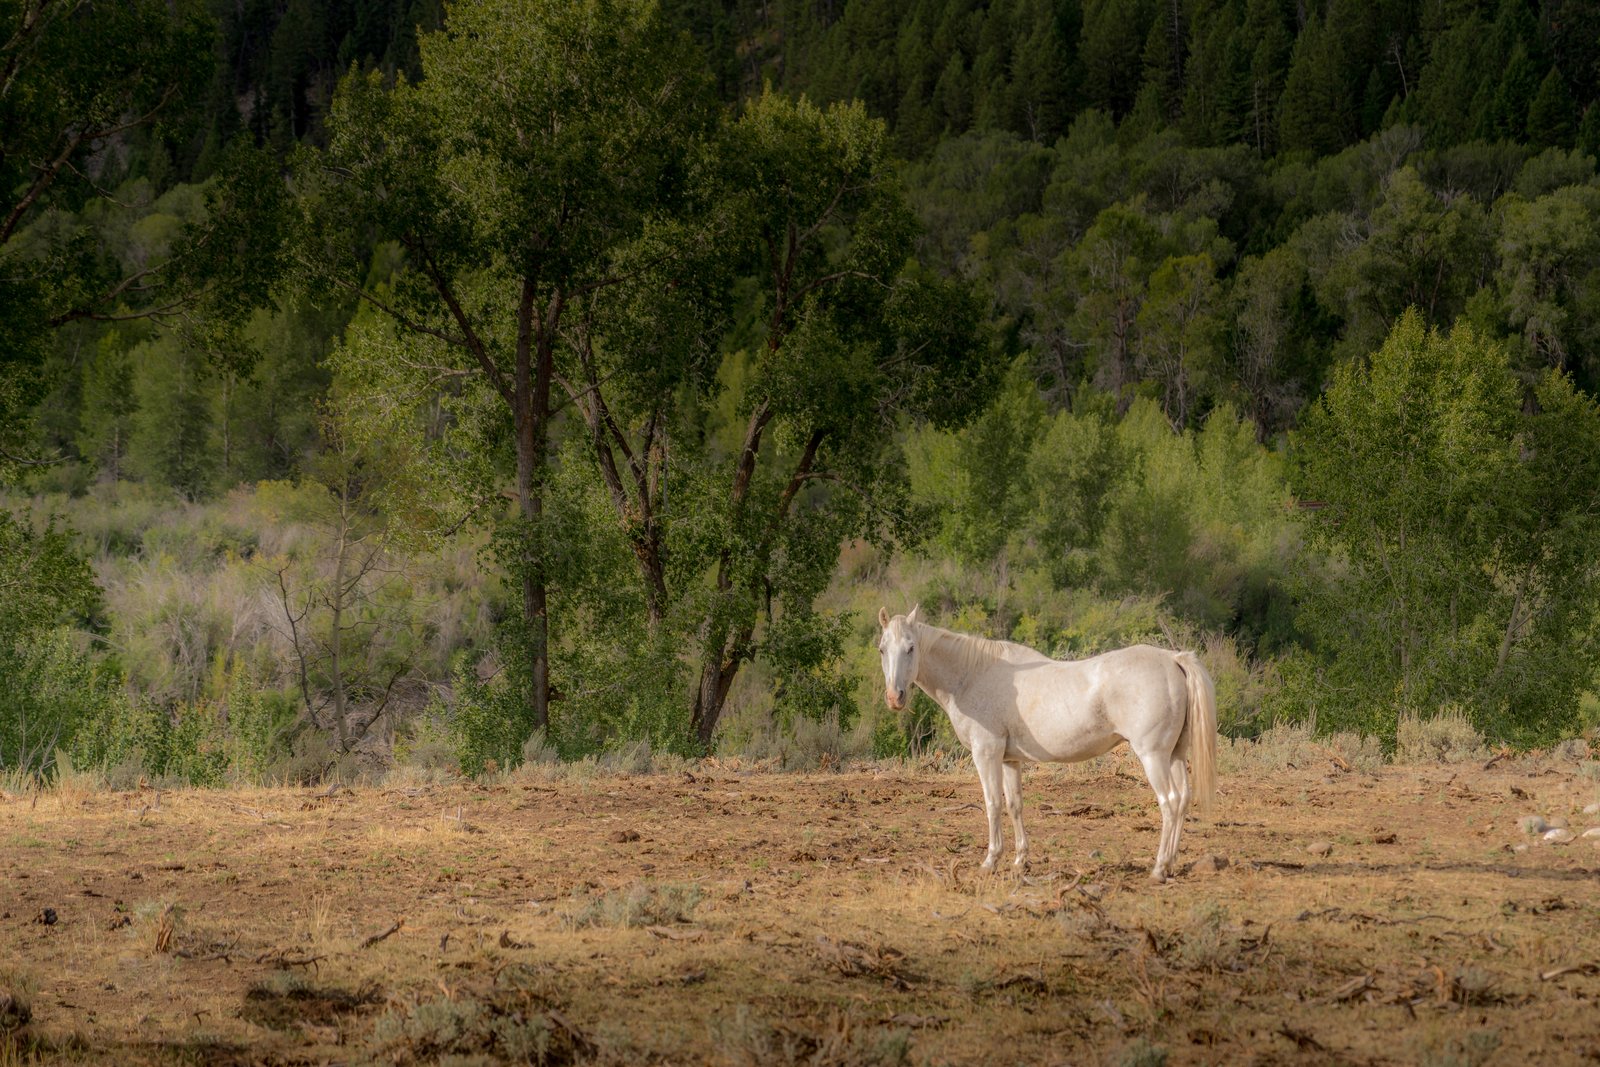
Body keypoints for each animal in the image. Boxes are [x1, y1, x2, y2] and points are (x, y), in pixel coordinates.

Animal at [877, 605, 1217, 883]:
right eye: (882, 649)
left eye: (911, 647)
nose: (894, 698)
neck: (973, 675)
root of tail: (1173, 659)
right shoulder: (1009, 760)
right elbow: (1014, 805)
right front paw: (1019, 861)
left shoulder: (986, 753)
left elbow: (992, 804)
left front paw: (990, 861)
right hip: (1175, 755)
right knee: (1183, 799)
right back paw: (1171, 864)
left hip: (1153, 756)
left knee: (1169, 802)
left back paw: (1159, 869)